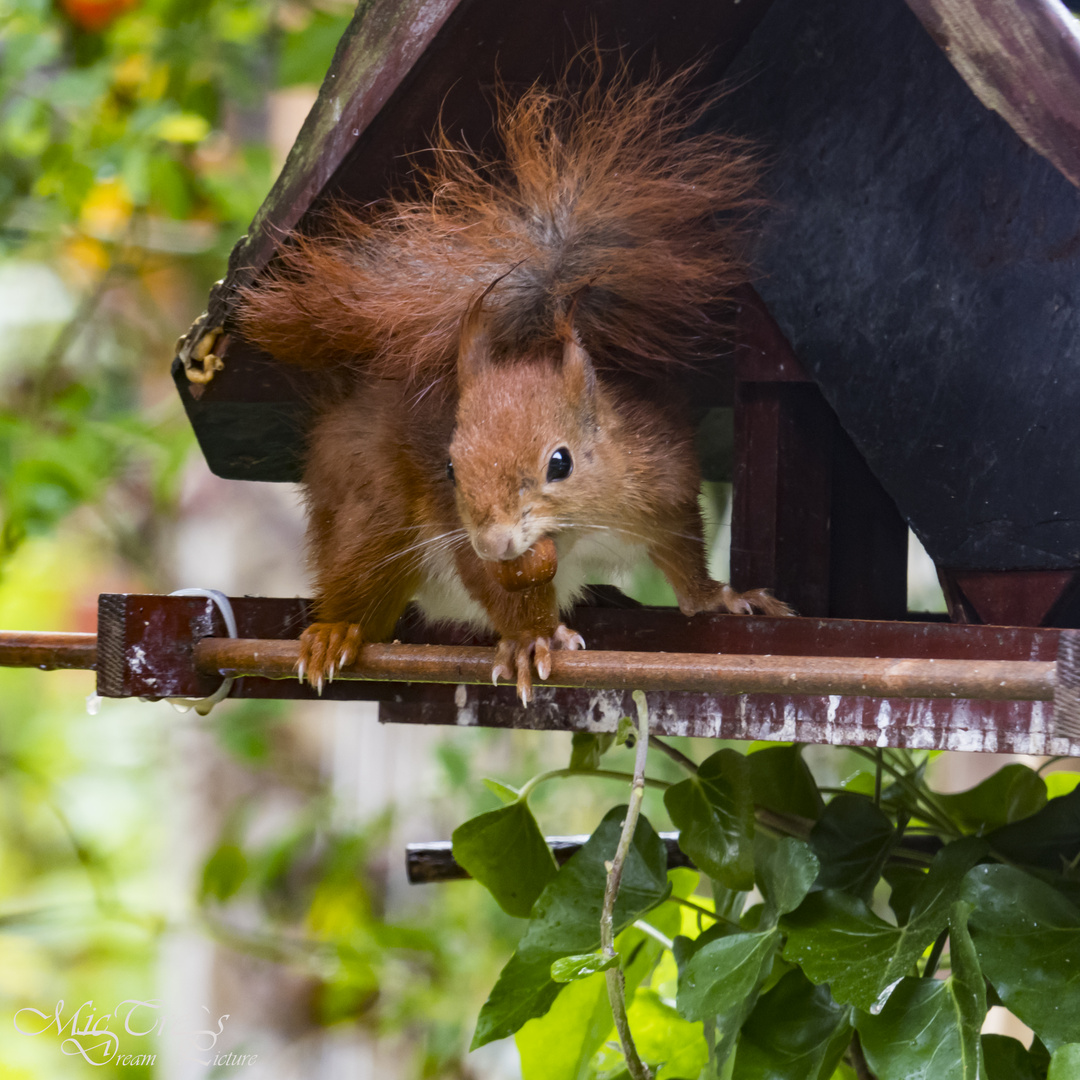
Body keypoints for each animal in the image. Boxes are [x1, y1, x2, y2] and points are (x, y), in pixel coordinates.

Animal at [238, 61, 794, 699]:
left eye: (561, 463)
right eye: (450, 468)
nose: (496, 541)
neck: (575, 529)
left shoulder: (662, 484)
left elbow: (683, 554)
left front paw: (723, 599)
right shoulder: (459, 532)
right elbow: (498, 590)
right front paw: (532, 640)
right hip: (370, 510)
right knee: (360, 584)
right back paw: (336, 634)